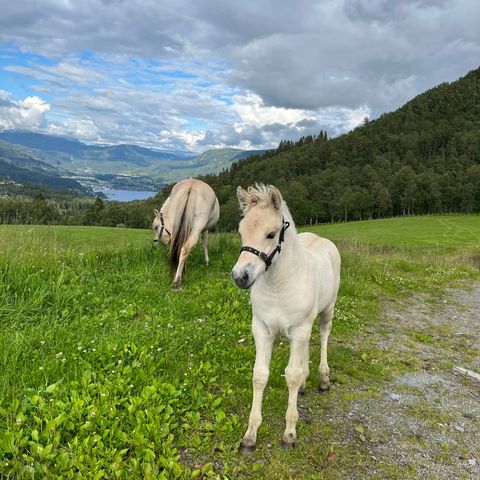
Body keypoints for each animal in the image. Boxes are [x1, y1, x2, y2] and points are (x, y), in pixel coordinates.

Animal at [232, 183, 342, 450]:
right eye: (240, 232)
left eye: (271, 234)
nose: (240, 277)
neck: (277, 285)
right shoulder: (262, 330)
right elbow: (260, 376)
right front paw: (250, 435)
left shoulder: (299, 328)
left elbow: (290, 376)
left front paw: (289, 433)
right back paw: (305, 383)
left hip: (327, 310)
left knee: (323, 335)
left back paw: (323, 379)